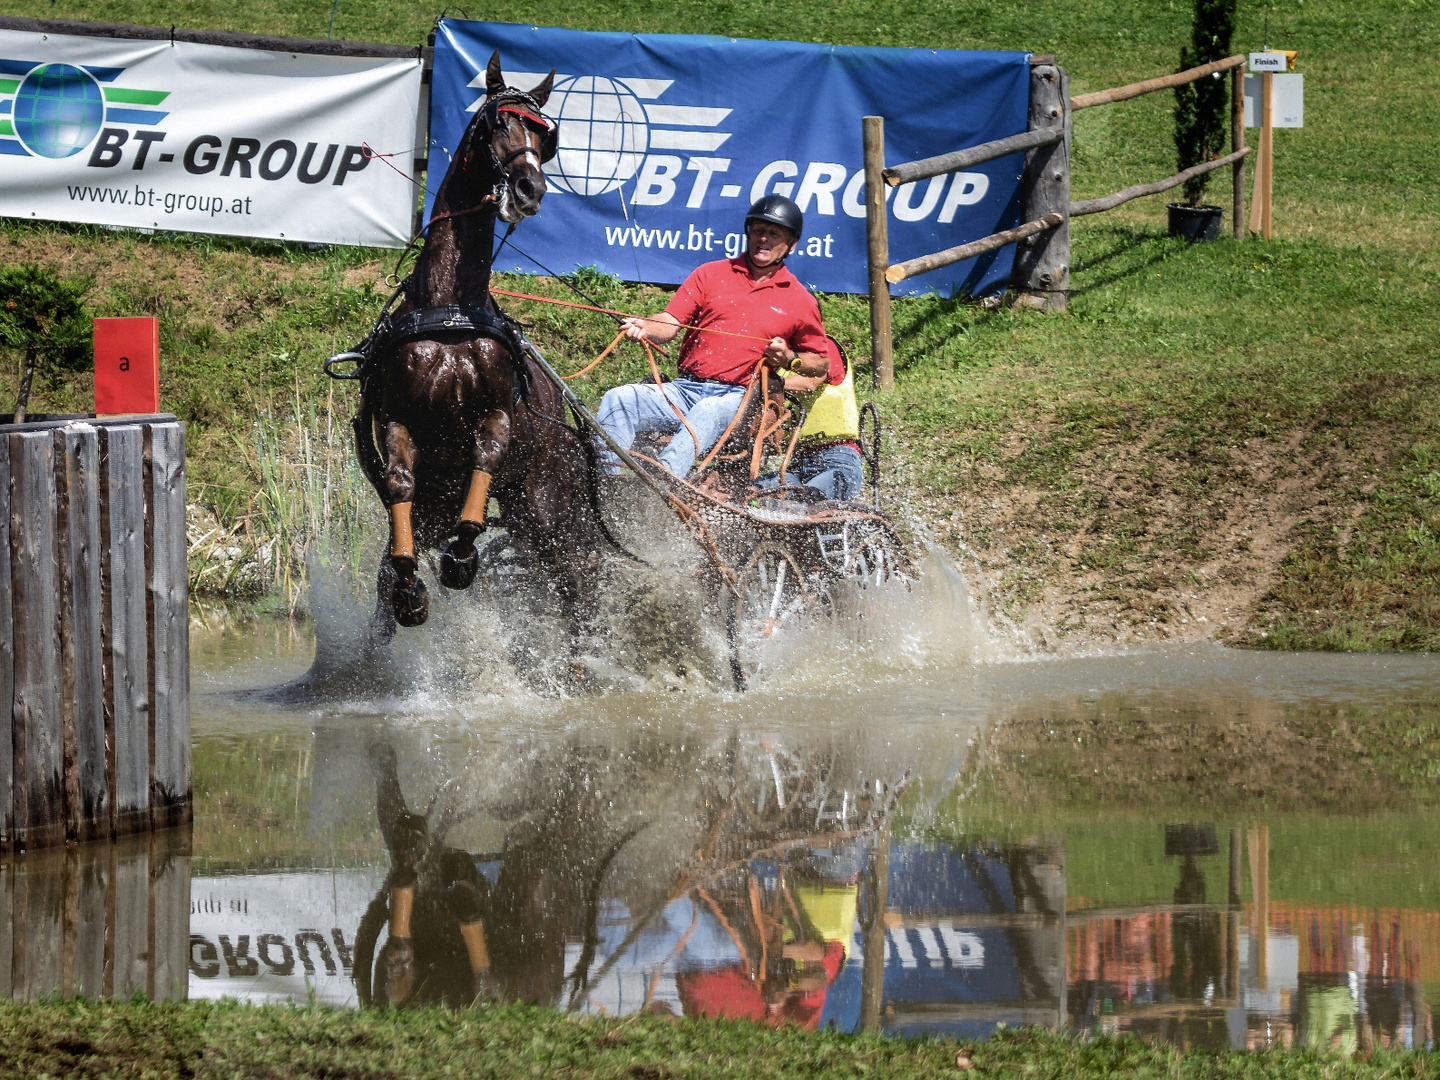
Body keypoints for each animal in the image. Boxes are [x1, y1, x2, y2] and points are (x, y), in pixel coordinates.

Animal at [357, 55, 610, 648]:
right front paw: (411, 585)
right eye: (498, 125)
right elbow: (398, 490)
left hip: (545, 504)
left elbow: (486, 455)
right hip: (481, 506)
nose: (529, 188)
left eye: (545, 138)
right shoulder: (401, 421)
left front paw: (462, 556)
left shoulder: (496, 414)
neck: (452, 307)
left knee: (578, 576)